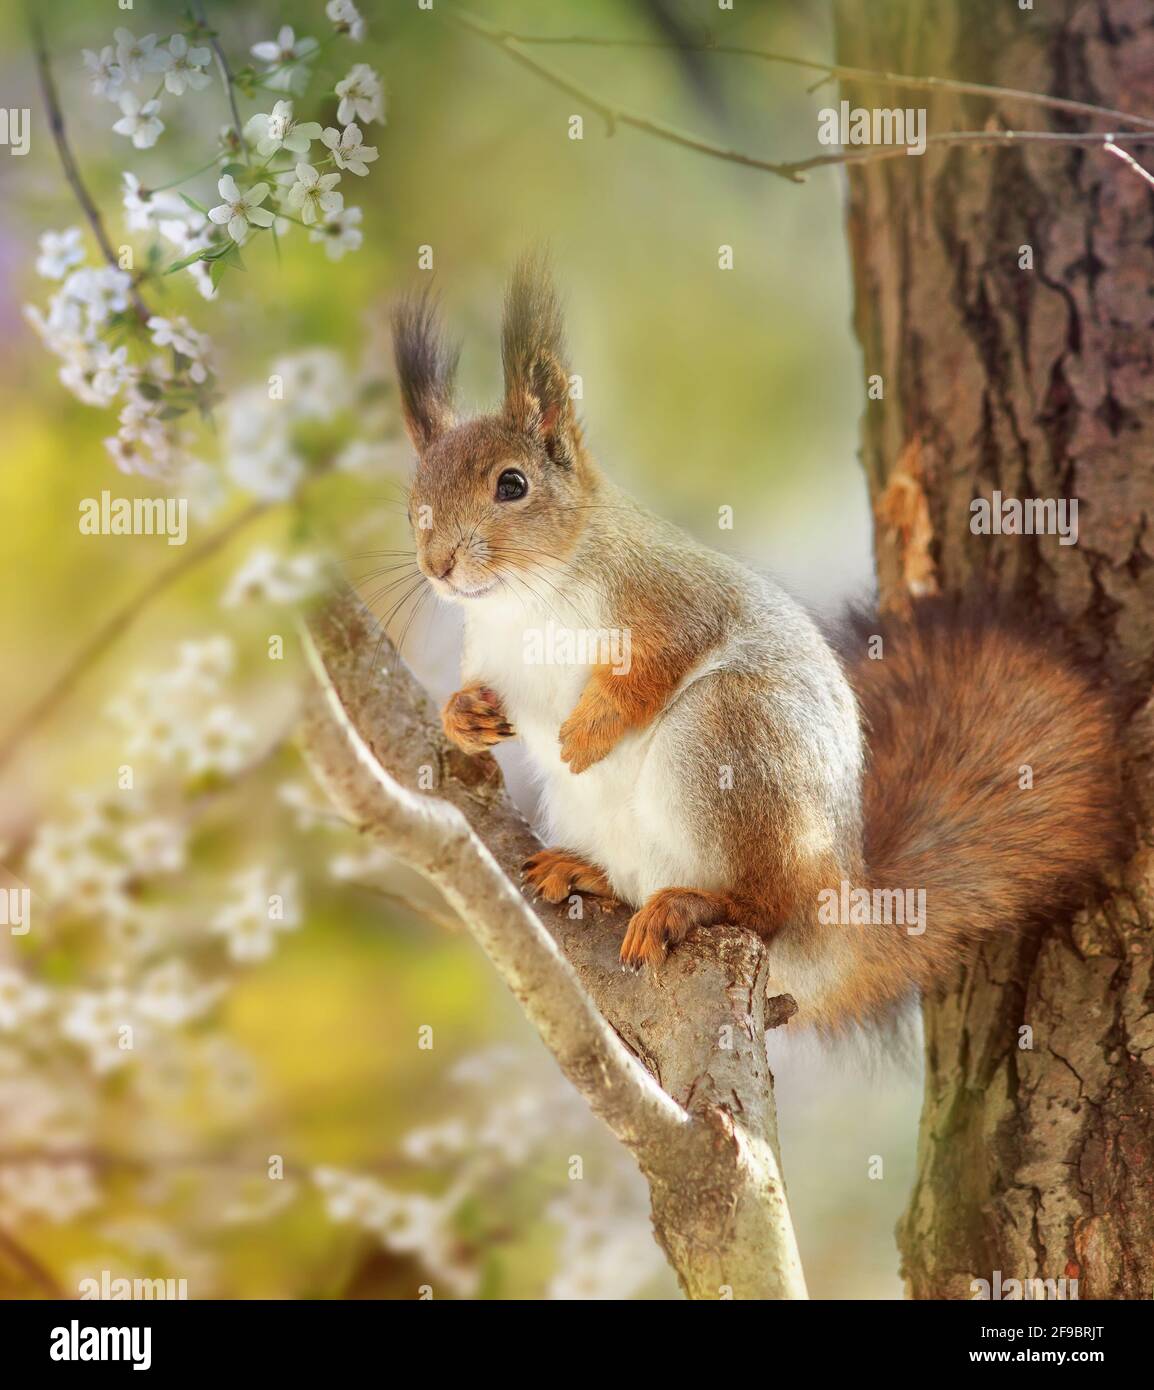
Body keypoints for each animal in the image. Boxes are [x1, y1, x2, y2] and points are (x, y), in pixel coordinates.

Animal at [394, 258, 1128, 1034]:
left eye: (513, 484)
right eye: (414, 504)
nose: (438, 565)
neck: (526, 600)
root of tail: (839, 916)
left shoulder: (672, 598)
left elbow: (658, 664)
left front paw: (591, 732)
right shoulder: (492, 652)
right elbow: (484, 695)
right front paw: (465, 717)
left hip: (730, 740)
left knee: (763, 906)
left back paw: (696, 903)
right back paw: (588, 873)